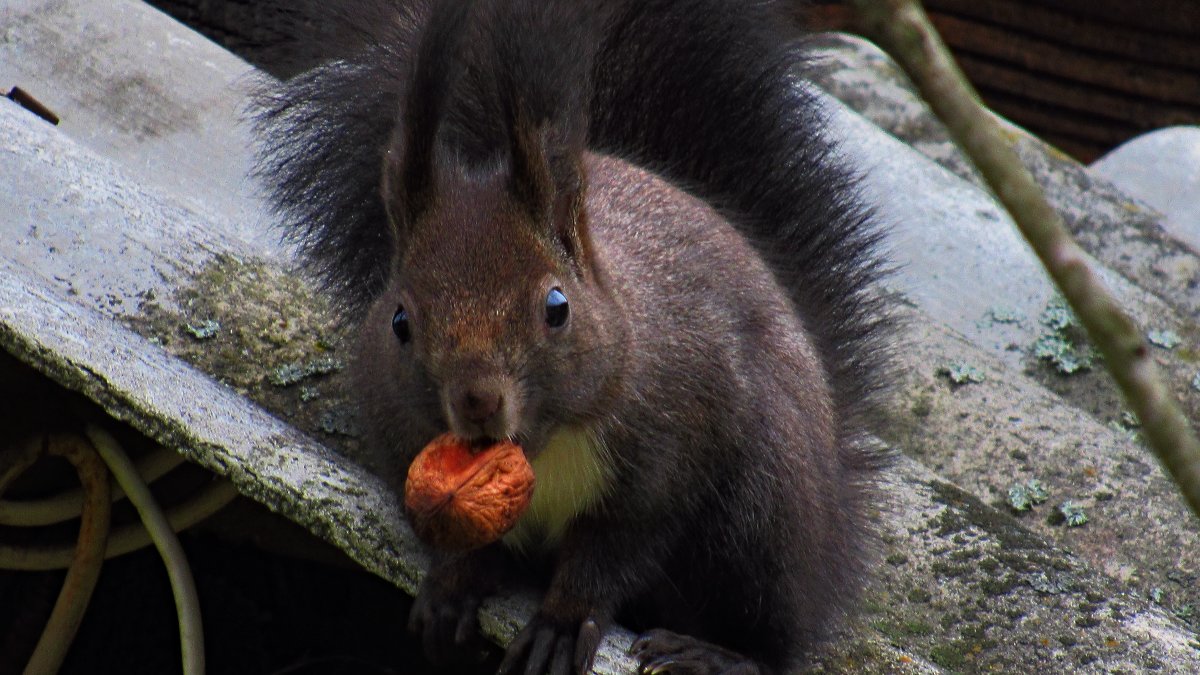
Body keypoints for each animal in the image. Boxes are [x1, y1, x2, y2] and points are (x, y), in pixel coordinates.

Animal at [253, 1, 892, 672]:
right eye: (400, 322)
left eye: (557, 307)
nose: (478, 399)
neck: (545, 445)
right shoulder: (403, 440)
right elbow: (452, 537)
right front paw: (452, 589)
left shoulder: (662, 467)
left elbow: (609, 558)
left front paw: (561, 625)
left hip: (764, 505)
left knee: (776, 633)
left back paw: (720, 653)